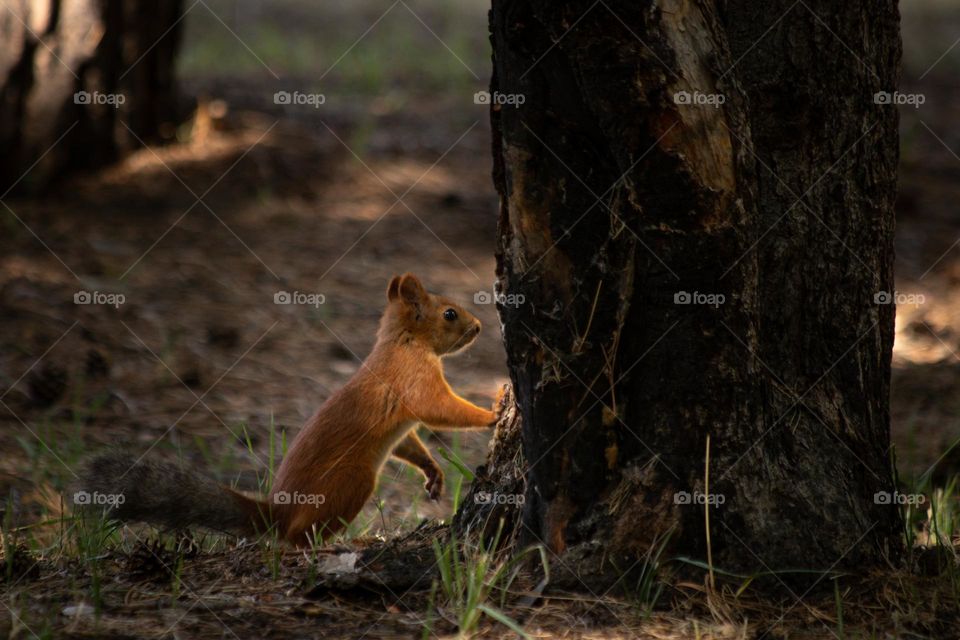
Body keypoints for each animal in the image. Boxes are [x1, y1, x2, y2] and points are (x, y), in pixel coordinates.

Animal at [79, 272, 502, 548]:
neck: (404, 341)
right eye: (449, 313)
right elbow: (440, 409)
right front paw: (492, 414)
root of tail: (276, 516)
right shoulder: (413, 379)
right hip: (351, 482)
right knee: (300, 539)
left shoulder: (404, 419)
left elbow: (409, 442)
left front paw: (433, 473)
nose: (480, 327)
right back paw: (344, 545)